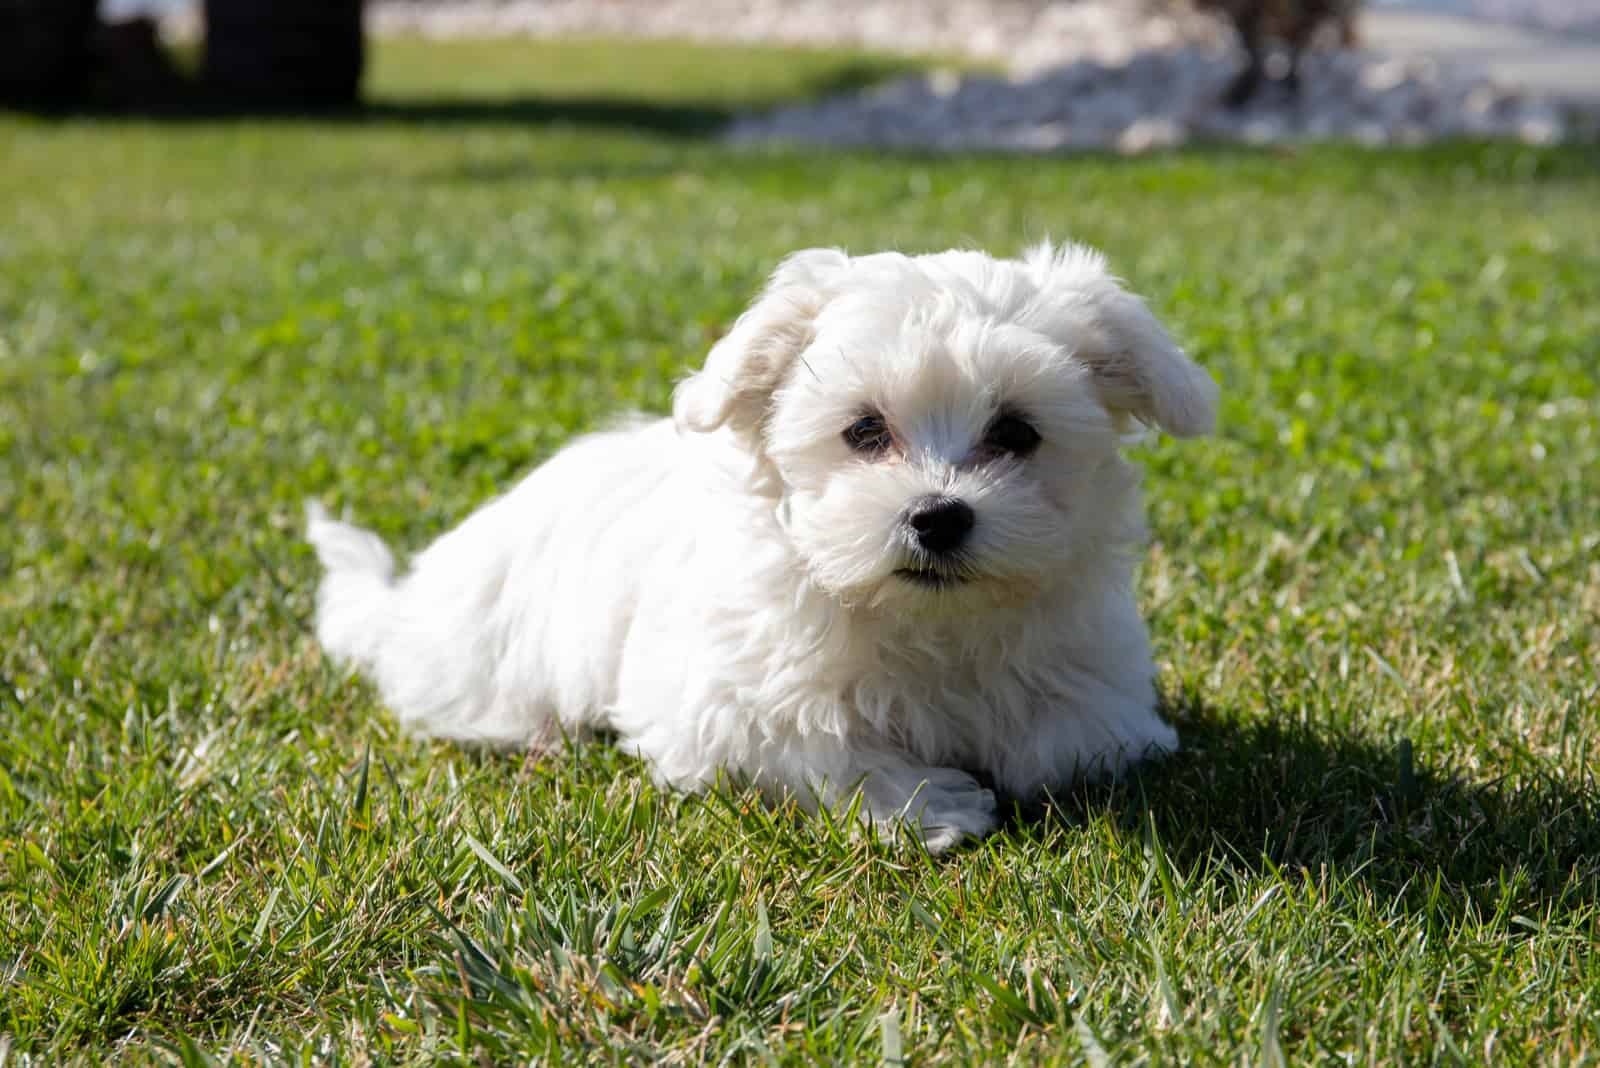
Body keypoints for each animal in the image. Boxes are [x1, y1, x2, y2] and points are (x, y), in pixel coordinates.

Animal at [305, 241, 1216, 850]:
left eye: (1017, 433)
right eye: (864, 431)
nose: (937, 516)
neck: (921, 620)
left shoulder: (1094, 672)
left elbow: (1079, 738)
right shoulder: (719, 706)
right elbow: (817, 744)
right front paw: (936, 804)